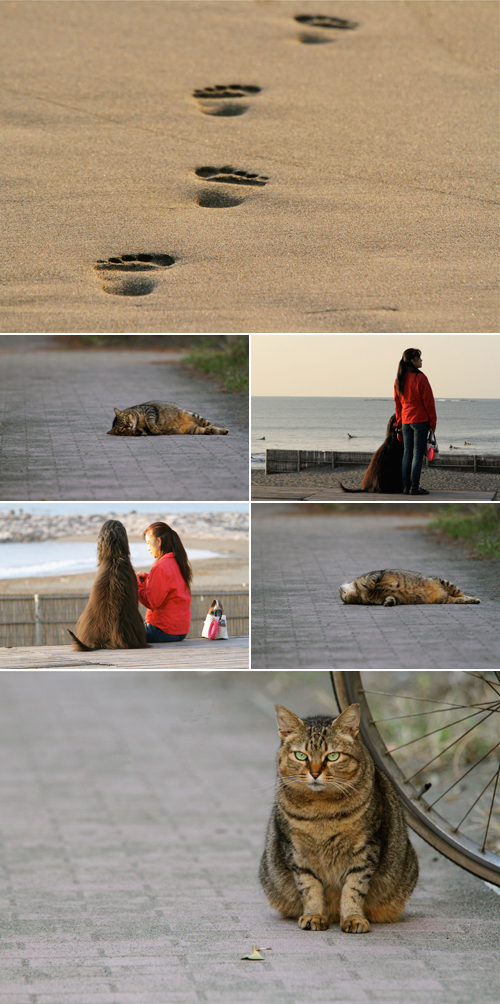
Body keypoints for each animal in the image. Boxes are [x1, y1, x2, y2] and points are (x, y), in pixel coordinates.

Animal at [259, 706, 419, 931]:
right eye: (300, 755)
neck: (322, 812)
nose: (315, 773)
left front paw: (353, 917)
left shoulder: (366, 849)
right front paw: (314, 915)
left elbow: (354, 888)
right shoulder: (296, 851)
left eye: (333, 756)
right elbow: (309, 887)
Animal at [339, 570, 479, 606]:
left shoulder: (377, 573)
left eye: (341, 594)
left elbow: (371, 579)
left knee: (461, 594)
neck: (360, 592)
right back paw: (468, 601)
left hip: (445, 583)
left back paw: (474, 599)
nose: (339, 590)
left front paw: (371, 585)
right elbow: (392, 598)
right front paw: (389, 602)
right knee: (457, 599)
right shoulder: (394, 597)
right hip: (445, 599)